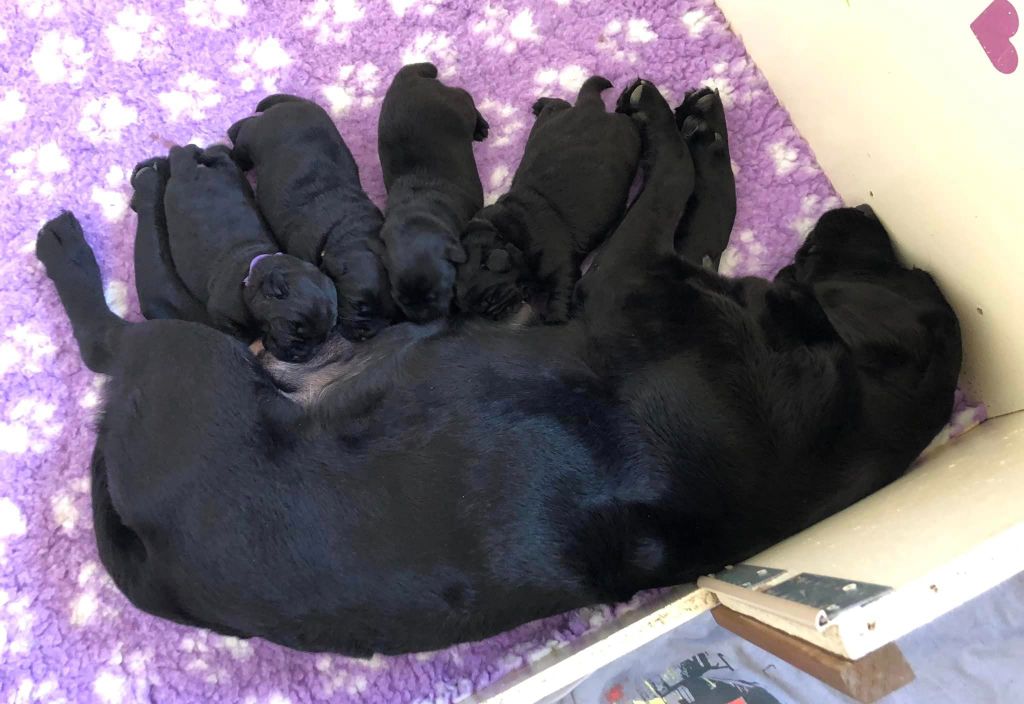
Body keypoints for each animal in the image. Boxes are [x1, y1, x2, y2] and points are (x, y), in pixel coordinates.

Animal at [151, 143, 337, 362]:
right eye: (291, 328)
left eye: (324, 337)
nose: (305, 355)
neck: (251, 272)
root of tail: (198, 169)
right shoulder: (221, 312)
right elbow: (241, 334)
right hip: (181, 174)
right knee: (180, 153)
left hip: (228, 169)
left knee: (214, 154)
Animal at [230, 94, 397, 341]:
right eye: (358, 305)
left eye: (391, 316)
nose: (367, 334)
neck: (347, 230)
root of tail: (297, 103)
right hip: (255, 136)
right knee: (244, 131)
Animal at [376, 63, 487, 321]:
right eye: (400, 298)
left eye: (433, 295)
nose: (421, 319)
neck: (420, 206)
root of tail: (407, 77)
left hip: (457, 106)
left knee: (466, 98)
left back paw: (481, 127)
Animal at [454, 74, 634, 321]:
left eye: (489, 299)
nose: (494, 314)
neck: (510, 233)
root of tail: (589, 106)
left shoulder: (560, 265)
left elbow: (560, 293)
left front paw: (555, 318)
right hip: (550, 120)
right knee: (557, 104)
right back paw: (541, 103)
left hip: (627, 131)